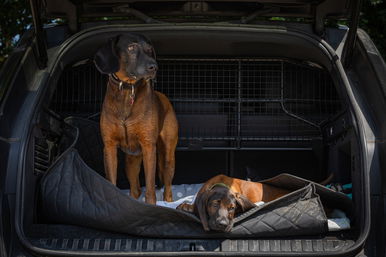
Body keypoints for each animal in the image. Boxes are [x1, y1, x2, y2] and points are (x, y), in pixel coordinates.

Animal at [93, 33, 178, 204]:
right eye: (131, 48)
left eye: (149, 49)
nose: (154, 67)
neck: (127, 89)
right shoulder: (109, 147)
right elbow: (111, 180)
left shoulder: (148, 146)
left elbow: (150, 188)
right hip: (131, 161)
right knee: (135, 189)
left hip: (167, 157)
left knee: (167, 188)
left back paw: (169, 202)